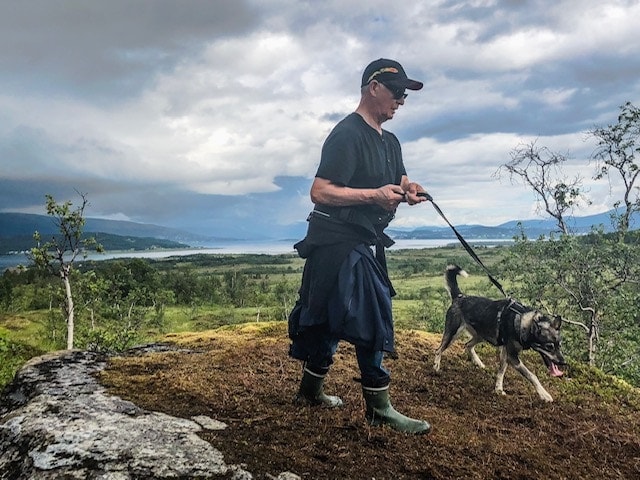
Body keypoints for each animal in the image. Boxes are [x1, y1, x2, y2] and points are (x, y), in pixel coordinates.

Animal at [436, 264, 564, 404]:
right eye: (549, 346)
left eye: (560, 345)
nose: (563, 363)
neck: (523, 321)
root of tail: (459, 297)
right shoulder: (513, 357)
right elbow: (532, 375)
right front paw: (544, 394)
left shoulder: (505, 352)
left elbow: (501, 372)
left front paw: (498, 388)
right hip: (453, 334)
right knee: (438, 350)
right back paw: (436, 368)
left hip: (481, 335)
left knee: (467, 345)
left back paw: (478, 363)